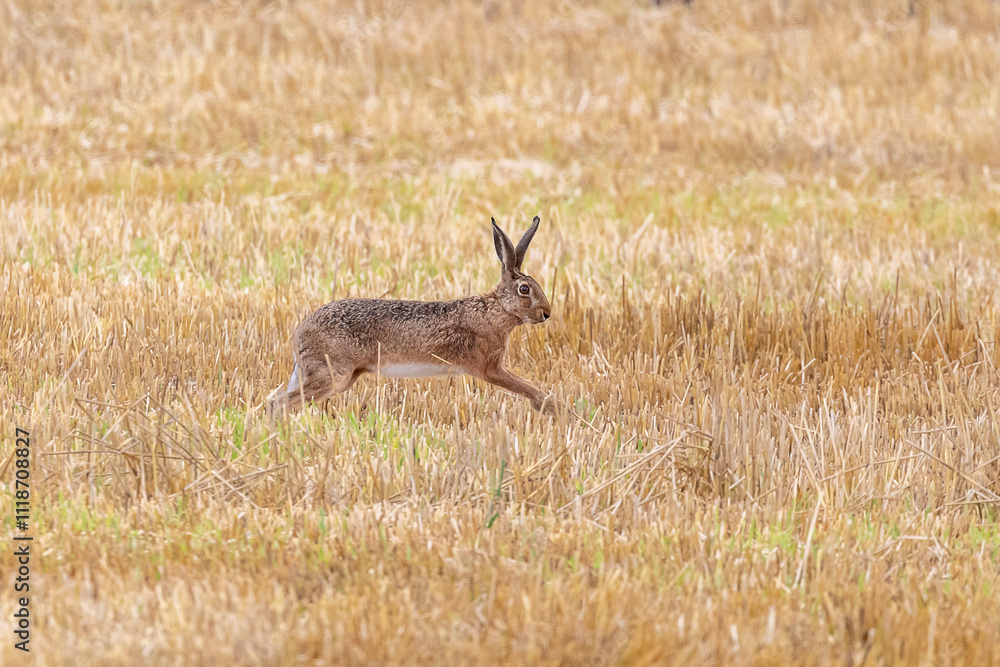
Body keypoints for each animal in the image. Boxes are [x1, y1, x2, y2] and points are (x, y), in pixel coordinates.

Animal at [268, 215, 560, 416]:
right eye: (525, 289)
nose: (546, 314)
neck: (496, 310)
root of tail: (300, 331)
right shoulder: (490, 369)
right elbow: (529, 389)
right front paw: (556, 410)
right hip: (333, 373)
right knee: (280, 403)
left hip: (338, 377)